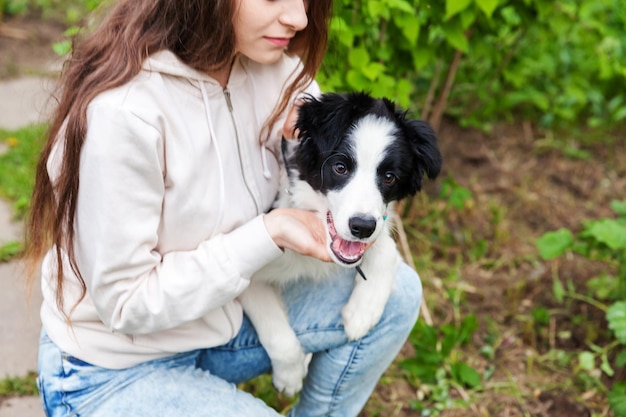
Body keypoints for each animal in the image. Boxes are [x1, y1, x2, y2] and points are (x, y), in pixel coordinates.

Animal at [236, 91, 442, 394]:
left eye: (389, 176)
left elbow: (386, 249)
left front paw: (362, 313)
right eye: (340, 167)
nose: (362, 227)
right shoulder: (249, 274)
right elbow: (275, 330)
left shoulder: (378, 228)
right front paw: (290, 377)